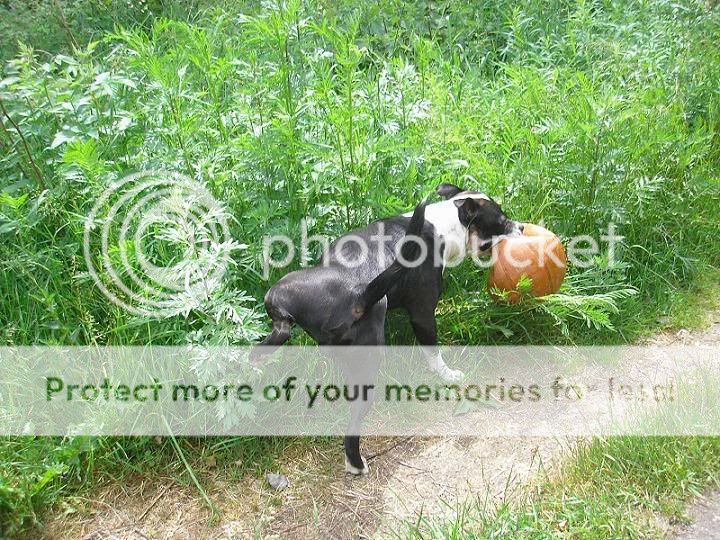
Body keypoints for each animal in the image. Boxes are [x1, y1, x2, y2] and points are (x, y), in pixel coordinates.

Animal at [255, 184, 524, 474]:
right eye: (501, 220)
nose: (522, 227)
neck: (443, 222)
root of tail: (357, 298)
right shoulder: (422, 313)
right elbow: (434, 354)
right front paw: (448, 375)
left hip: (282, 295)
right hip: (370, 357)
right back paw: (356, 464)